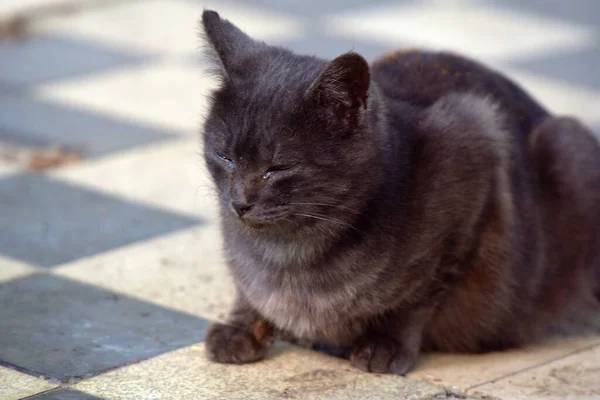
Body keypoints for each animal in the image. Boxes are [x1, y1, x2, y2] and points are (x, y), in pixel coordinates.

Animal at [199, 10, 600, 376]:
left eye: (277, 169)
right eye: (225, 157)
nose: (239, 203)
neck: (288, 252)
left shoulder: (473, 147)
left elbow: (419, 294)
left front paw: (385, 343)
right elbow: (246, 284)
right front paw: (240, 327)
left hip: (567, 146)